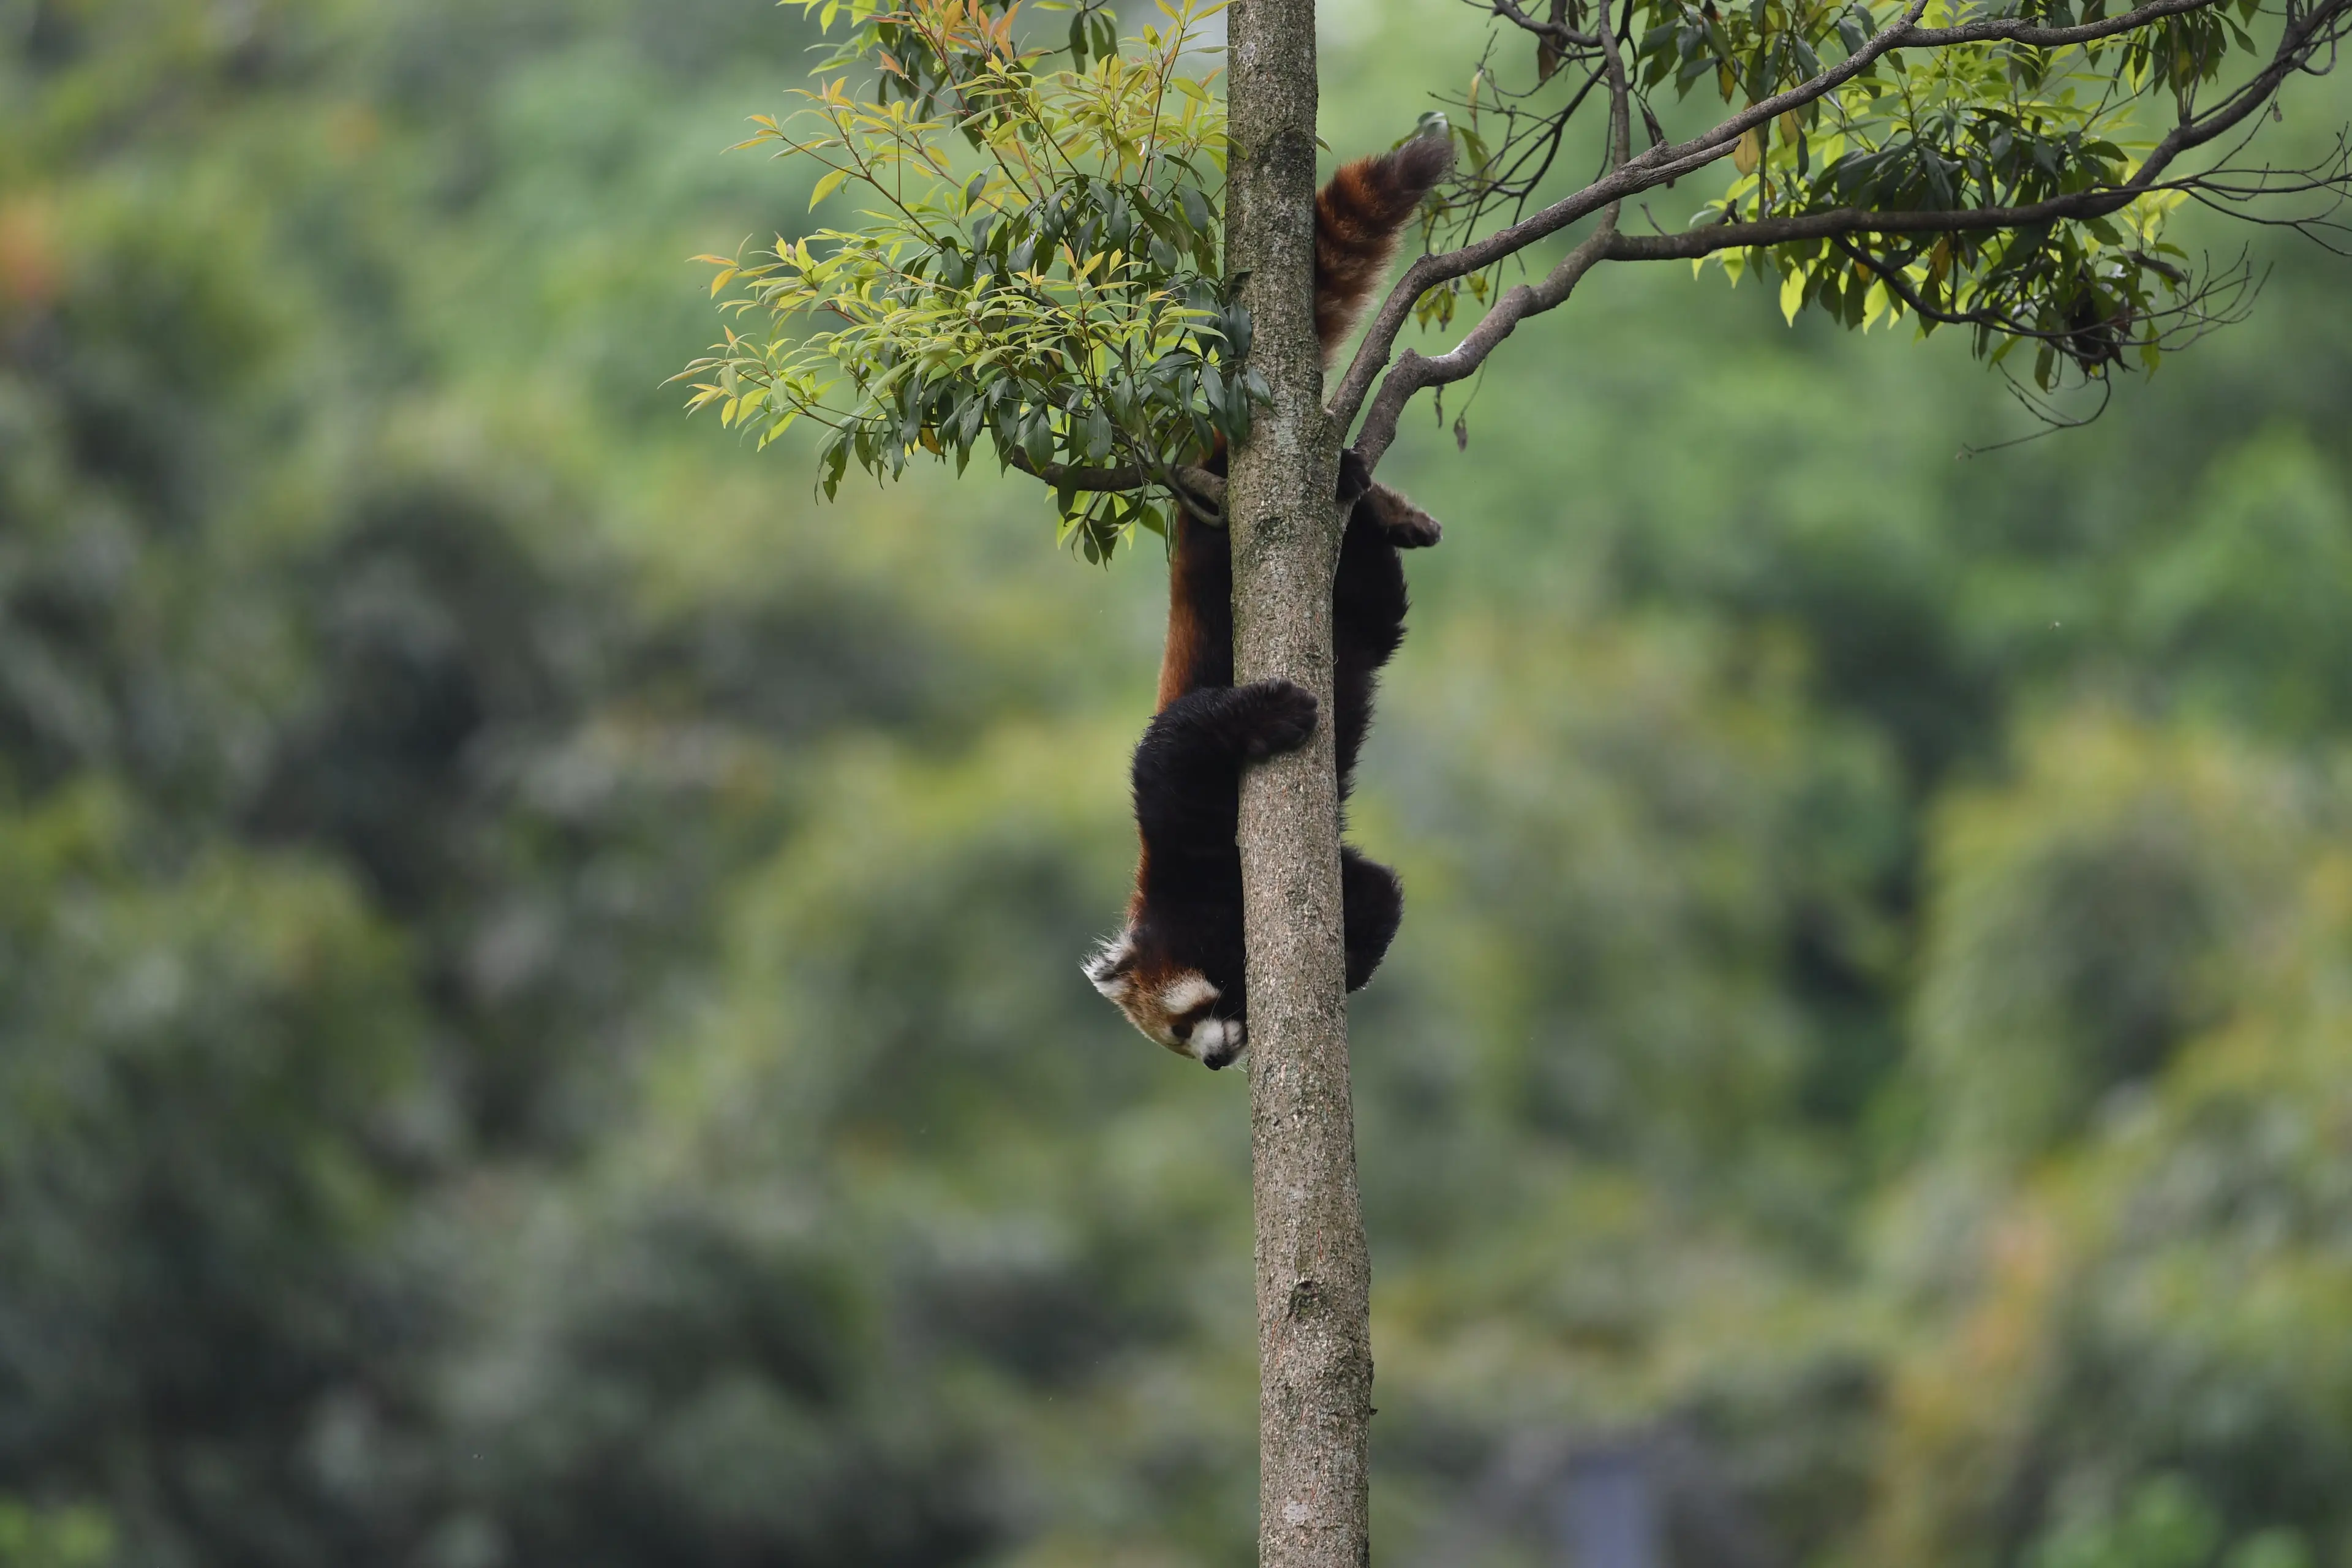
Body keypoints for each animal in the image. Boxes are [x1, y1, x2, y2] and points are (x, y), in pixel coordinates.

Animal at [1085, 130, 1451, 1068]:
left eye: (1182, 1022)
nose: (1220, 1059)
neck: (1187, 905)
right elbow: (1376, 891)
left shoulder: (1173, 817)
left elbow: (1175, 744)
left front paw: (1277, 711)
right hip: (1356, 608)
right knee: (1376, 607)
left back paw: (1364, 489)